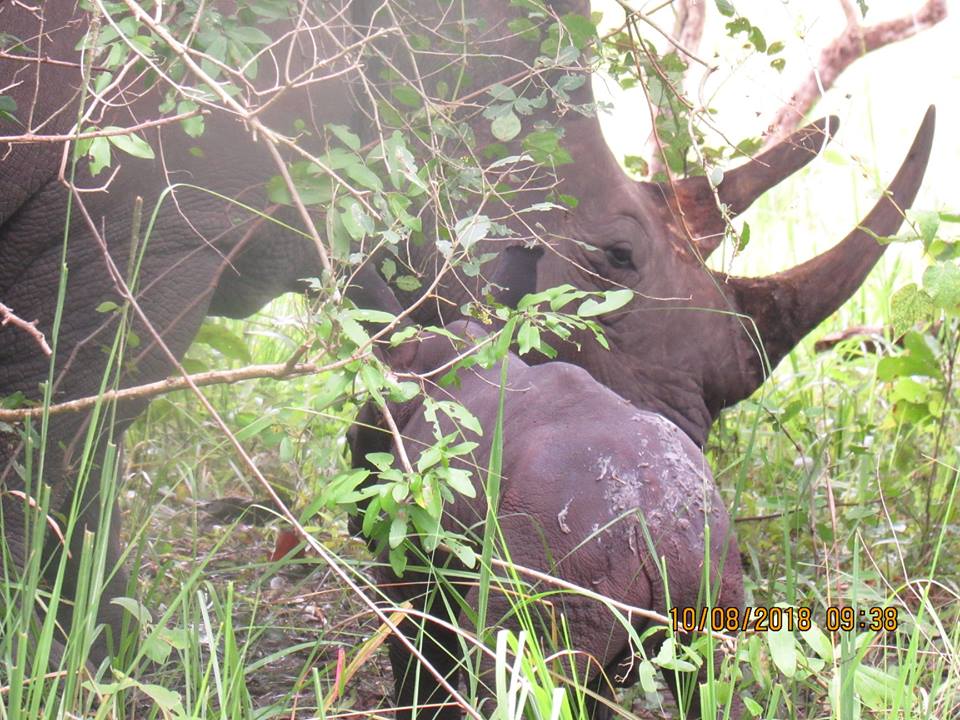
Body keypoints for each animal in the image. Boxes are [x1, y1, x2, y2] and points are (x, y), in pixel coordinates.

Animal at [348, 316, 745, 719]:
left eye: (350, 440)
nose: (353, 522)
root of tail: (661, 531)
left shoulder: (413, 556)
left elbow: (418, 653)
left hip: (563, 565)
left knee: (507, 669)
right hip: (710, 570)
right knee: (712, 682)